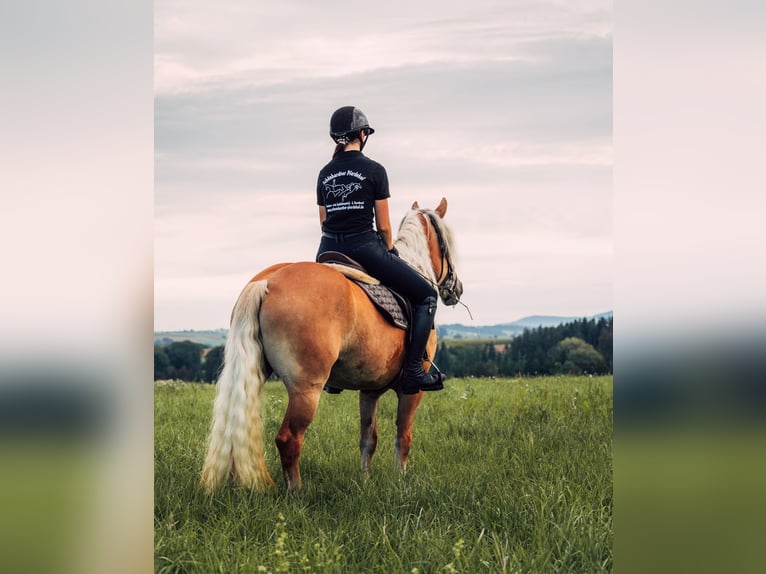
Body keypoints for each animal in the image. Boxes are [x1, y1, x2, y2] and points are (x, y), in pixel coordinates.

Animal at [201, 199, 462, 496]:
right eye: (448, 243)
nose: (457, 289)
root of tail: (267, 281)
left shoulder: (369, 391)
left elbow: (368, 439)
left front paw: (364, 483)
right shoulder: (412, 390)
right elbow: (403, 437)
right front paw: (400, 482)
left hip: (253, 374)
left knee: (238, 428)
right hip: (307, 388)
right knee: (289, 438)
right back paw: (296, 493)